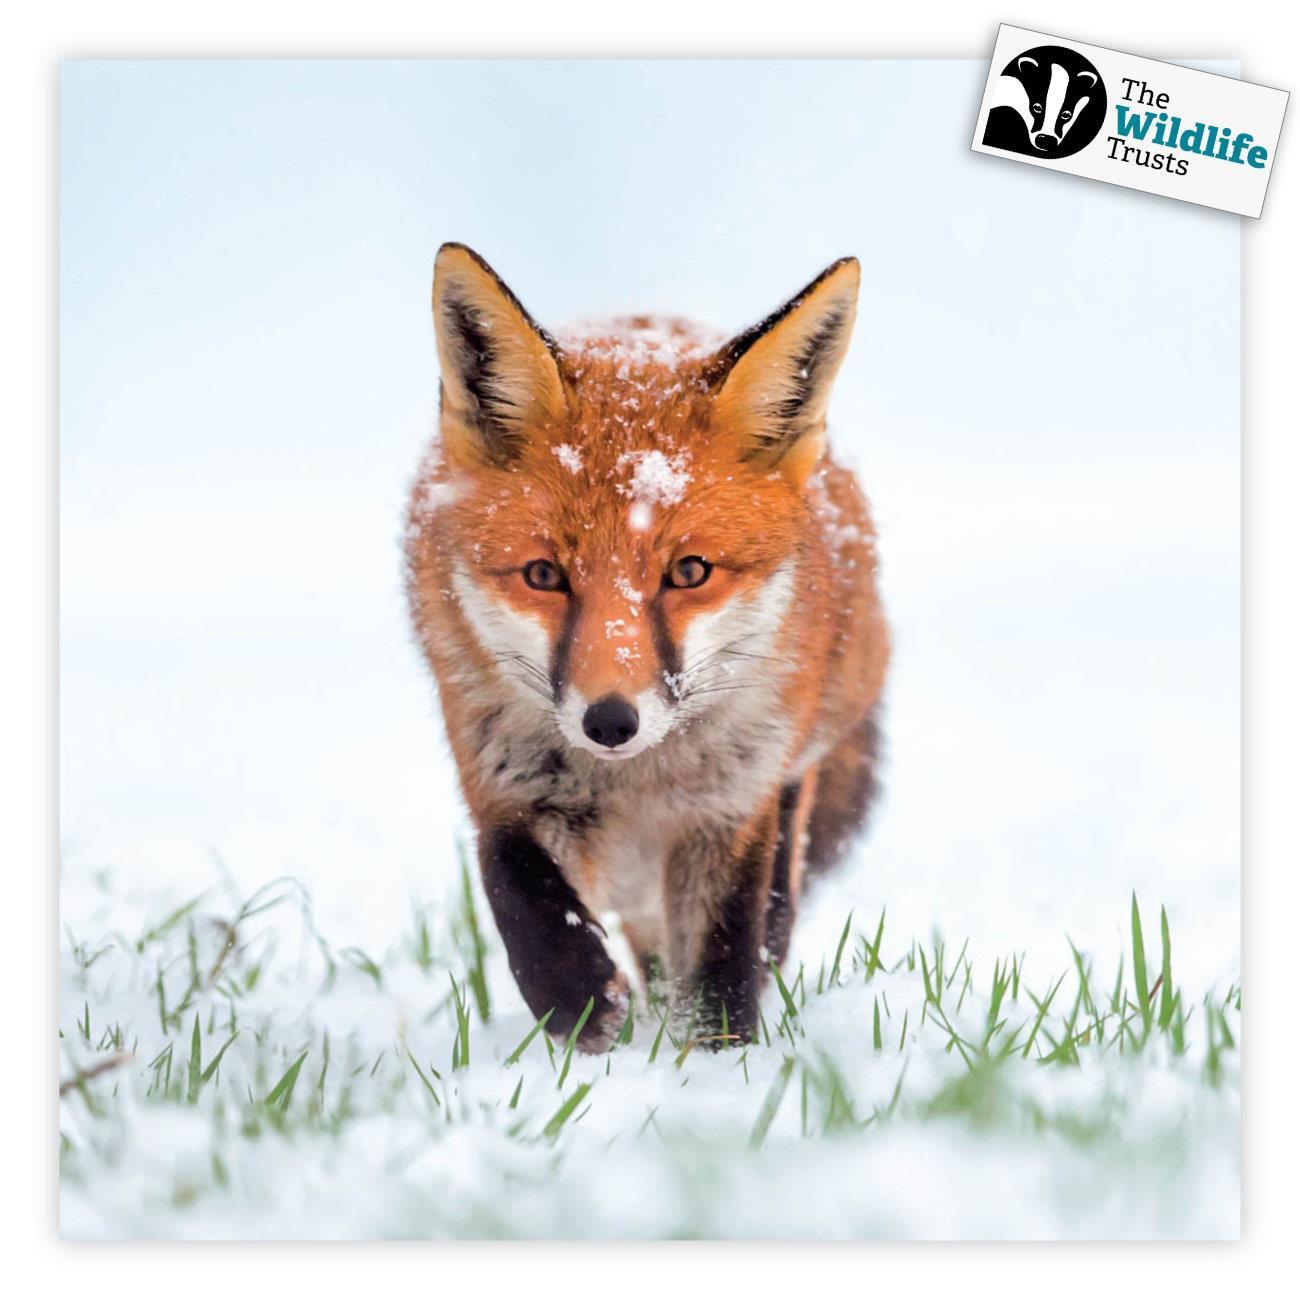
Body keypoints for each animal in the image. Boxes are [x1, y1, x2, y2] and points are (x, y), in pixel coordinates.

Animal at [405, 243, 889, 1052]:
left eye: (688, 572)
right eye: (544, 575)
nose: (610, 721)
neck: (635, 785)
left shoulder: (732, 808)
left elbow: (723, 961)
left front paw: (717, 1059)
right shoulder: (500, 784)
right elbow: (525, 909)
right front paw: (589, 1023)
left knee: (775, 903)